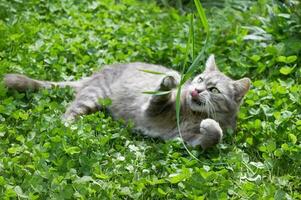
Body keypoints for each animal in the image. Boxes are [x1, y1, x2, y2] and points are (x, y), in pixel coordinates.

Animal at [3, 55, 250, 149]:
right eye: (199, 79)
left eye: (213, 89)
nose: (196, 90)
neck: (192, 115)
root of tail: (95, 74)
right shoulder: (151, 109)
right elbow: (161, 94)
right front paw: (171, 79)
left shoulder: (188, 141)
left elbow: (214, 136)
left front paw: (211, 125)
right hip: (93, 96)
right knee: (68, 113)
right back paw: (68, 127)